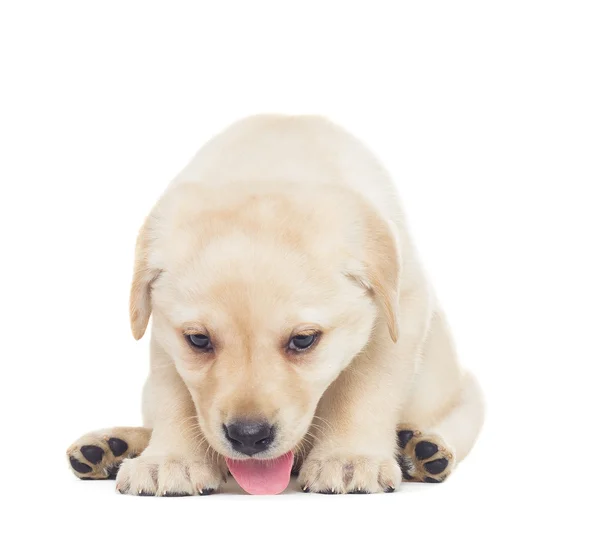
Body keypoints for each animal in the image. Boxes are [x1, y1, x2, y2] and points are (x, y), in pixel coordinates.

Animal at [68, 115, 486, 496]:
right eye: (199, 340)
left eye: (304, 340)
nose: (249, 436)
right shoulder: (161, 335)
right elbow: (175, 396)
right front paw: (171, 460)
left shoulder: (402, 309)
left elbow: (365, 386)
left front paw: (349, 458)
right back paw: (111, 447)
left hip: (468, 397)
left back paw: (422, 449)